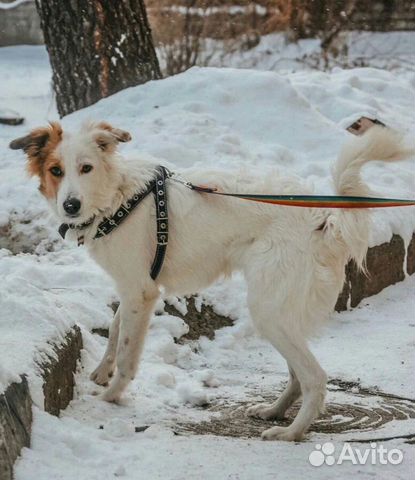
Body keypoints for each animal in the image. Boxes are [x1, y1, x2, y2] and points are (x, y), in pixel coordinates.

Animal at [9, 122, 410, 440]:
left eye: (86, 168)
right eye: (56, 170)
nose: (70, 206)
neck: (117, 197)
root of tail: (324, 219)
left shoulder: (141, 291)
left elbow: (126, 352)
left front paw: (111, 396)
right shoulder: (132, 286)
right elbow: (115, 328)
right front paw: (101, 372)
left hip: (269, 311)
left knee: (314, 378)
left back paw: (291, 432)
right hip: (279, 314)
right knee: (298, 375)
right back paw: (274, 411)